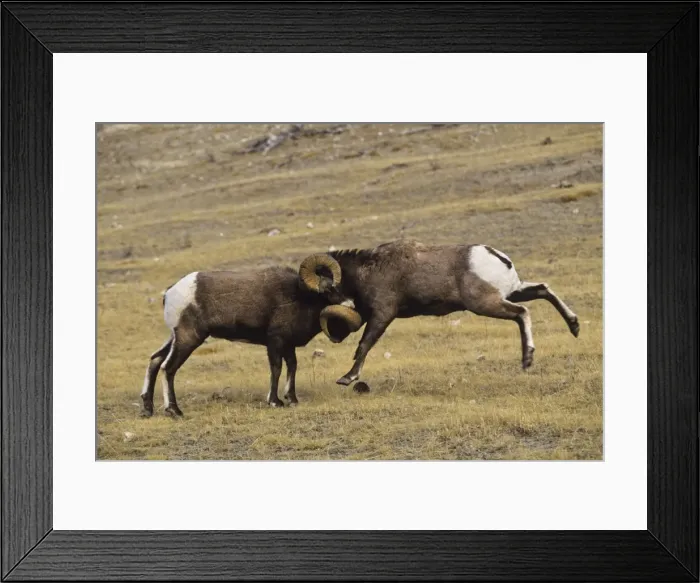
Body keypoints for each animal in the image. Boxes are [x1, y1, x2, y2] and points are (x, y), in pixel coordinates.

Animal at [140, 254, 361, 417]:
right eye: (328, 288)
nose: (351, 304)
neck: (299, 297)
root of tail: (170, 293)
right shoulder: (275, 342)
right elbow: (276, 368)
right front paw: (275, 402)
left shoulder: (287, 345)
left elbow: (292, 366)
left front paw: (292, 399)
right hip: (189, 339)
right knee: (168, 368)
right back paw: (174, 411)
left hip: (175, 338)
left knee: (155, 360)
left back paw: (148, 409)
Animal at [316, 239, 579, 385]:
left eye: (327, 292)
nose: (336, 336)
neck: (369, 270)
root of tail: (498, 258)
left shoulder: (383, 314)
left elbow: (364, 345)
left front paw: (347, 378)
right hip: (513, 291)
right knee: (544, 290)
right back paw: (574, 326)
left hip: (486, 304)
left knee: (522, 313)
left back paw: (527, 359)